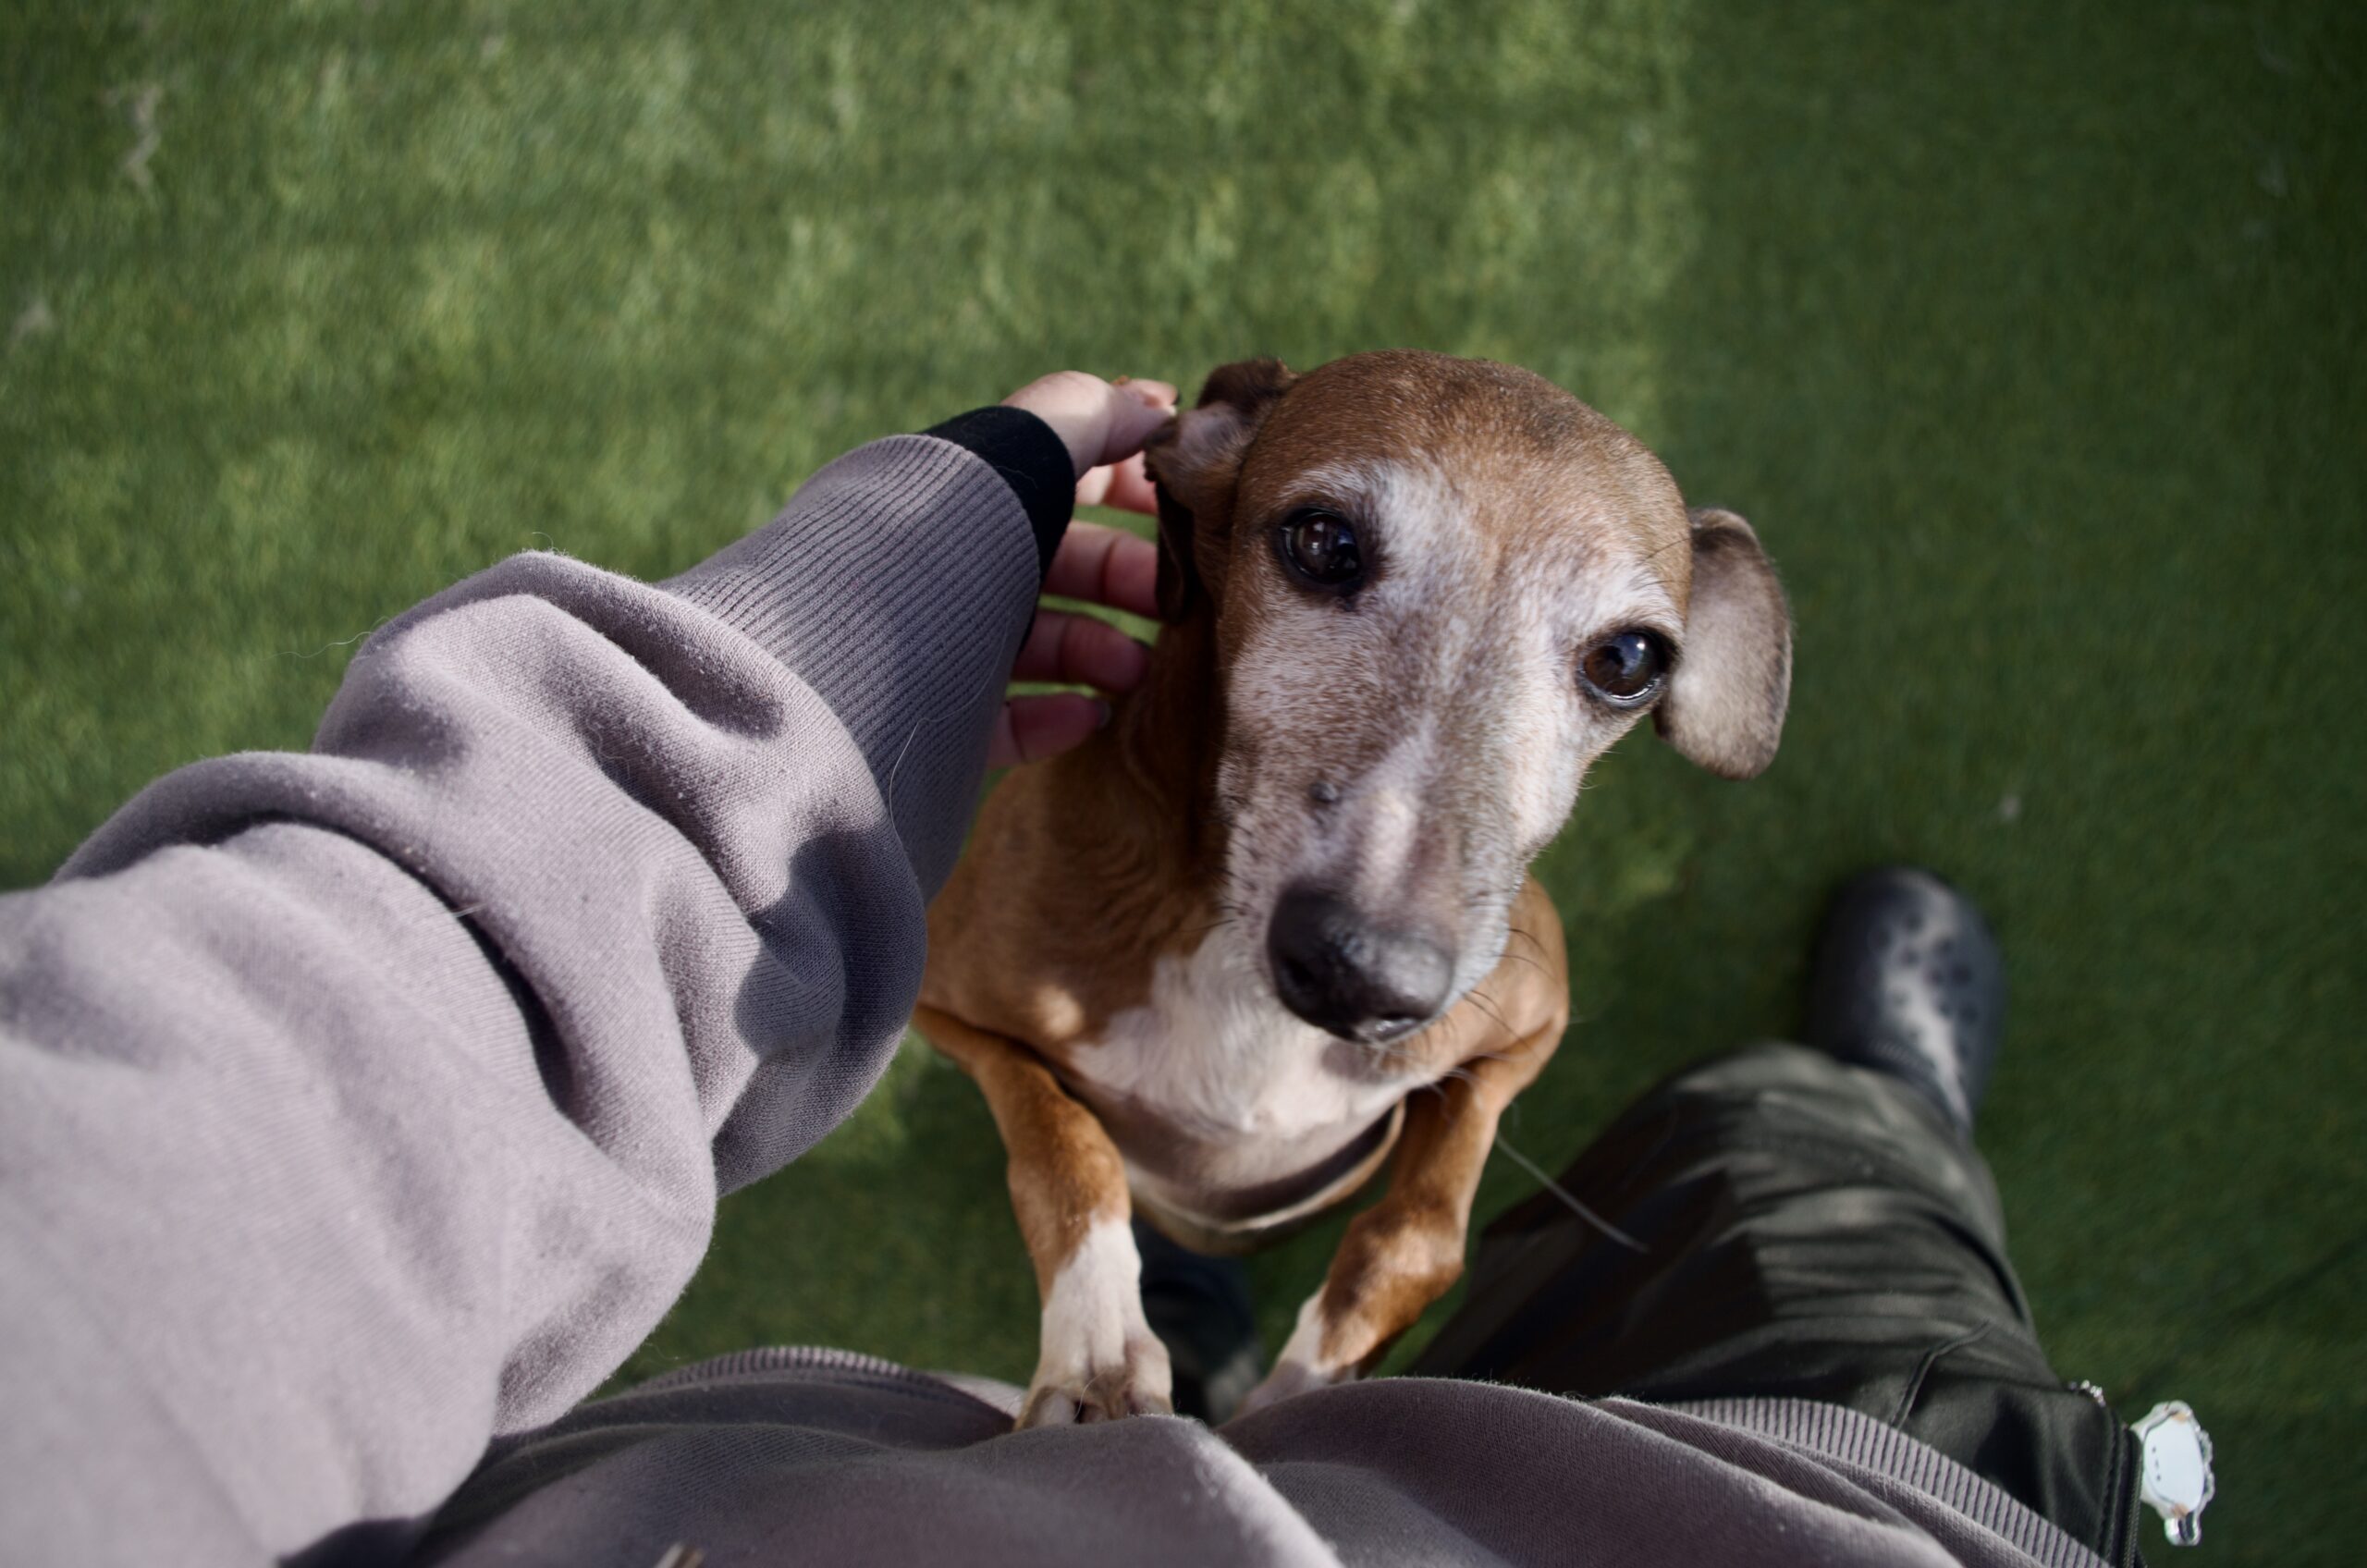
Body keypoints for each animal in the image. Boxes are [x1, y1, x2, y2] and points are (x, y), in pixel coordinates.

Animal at [915, 351, 1791, 1425]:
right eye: (1323, 540)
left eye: (1629, 660)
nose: (1361, 975)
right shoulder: (953, 1013)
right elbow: (1065, 1152)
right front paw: (1096, 1353)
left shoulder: (1523, 1030)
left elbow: (1421, 1233)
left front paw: (1299, 1394)